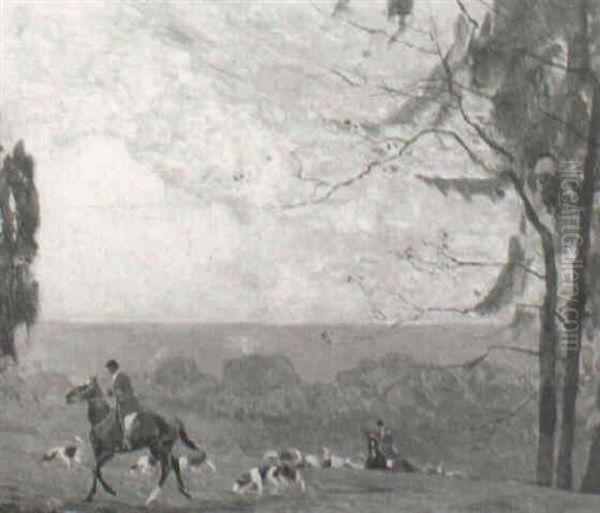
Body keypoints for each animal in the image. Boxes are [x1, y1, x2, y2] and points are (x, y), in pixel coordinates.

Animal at [67, 376, 200, 504]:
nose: (68, 396)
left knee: (166, 468)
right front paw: (95, 494)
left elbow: (95, 469)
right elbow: (96, 471)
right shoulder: (98, 453)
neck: (102, 420)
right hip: (165, 448)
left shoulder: (109, 453)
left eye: (83, 386)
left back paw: (151, 498)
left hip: (157, 448)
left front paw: (109, 491)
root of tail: (174, 420)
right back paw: (185, 492)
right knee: (175, 463)